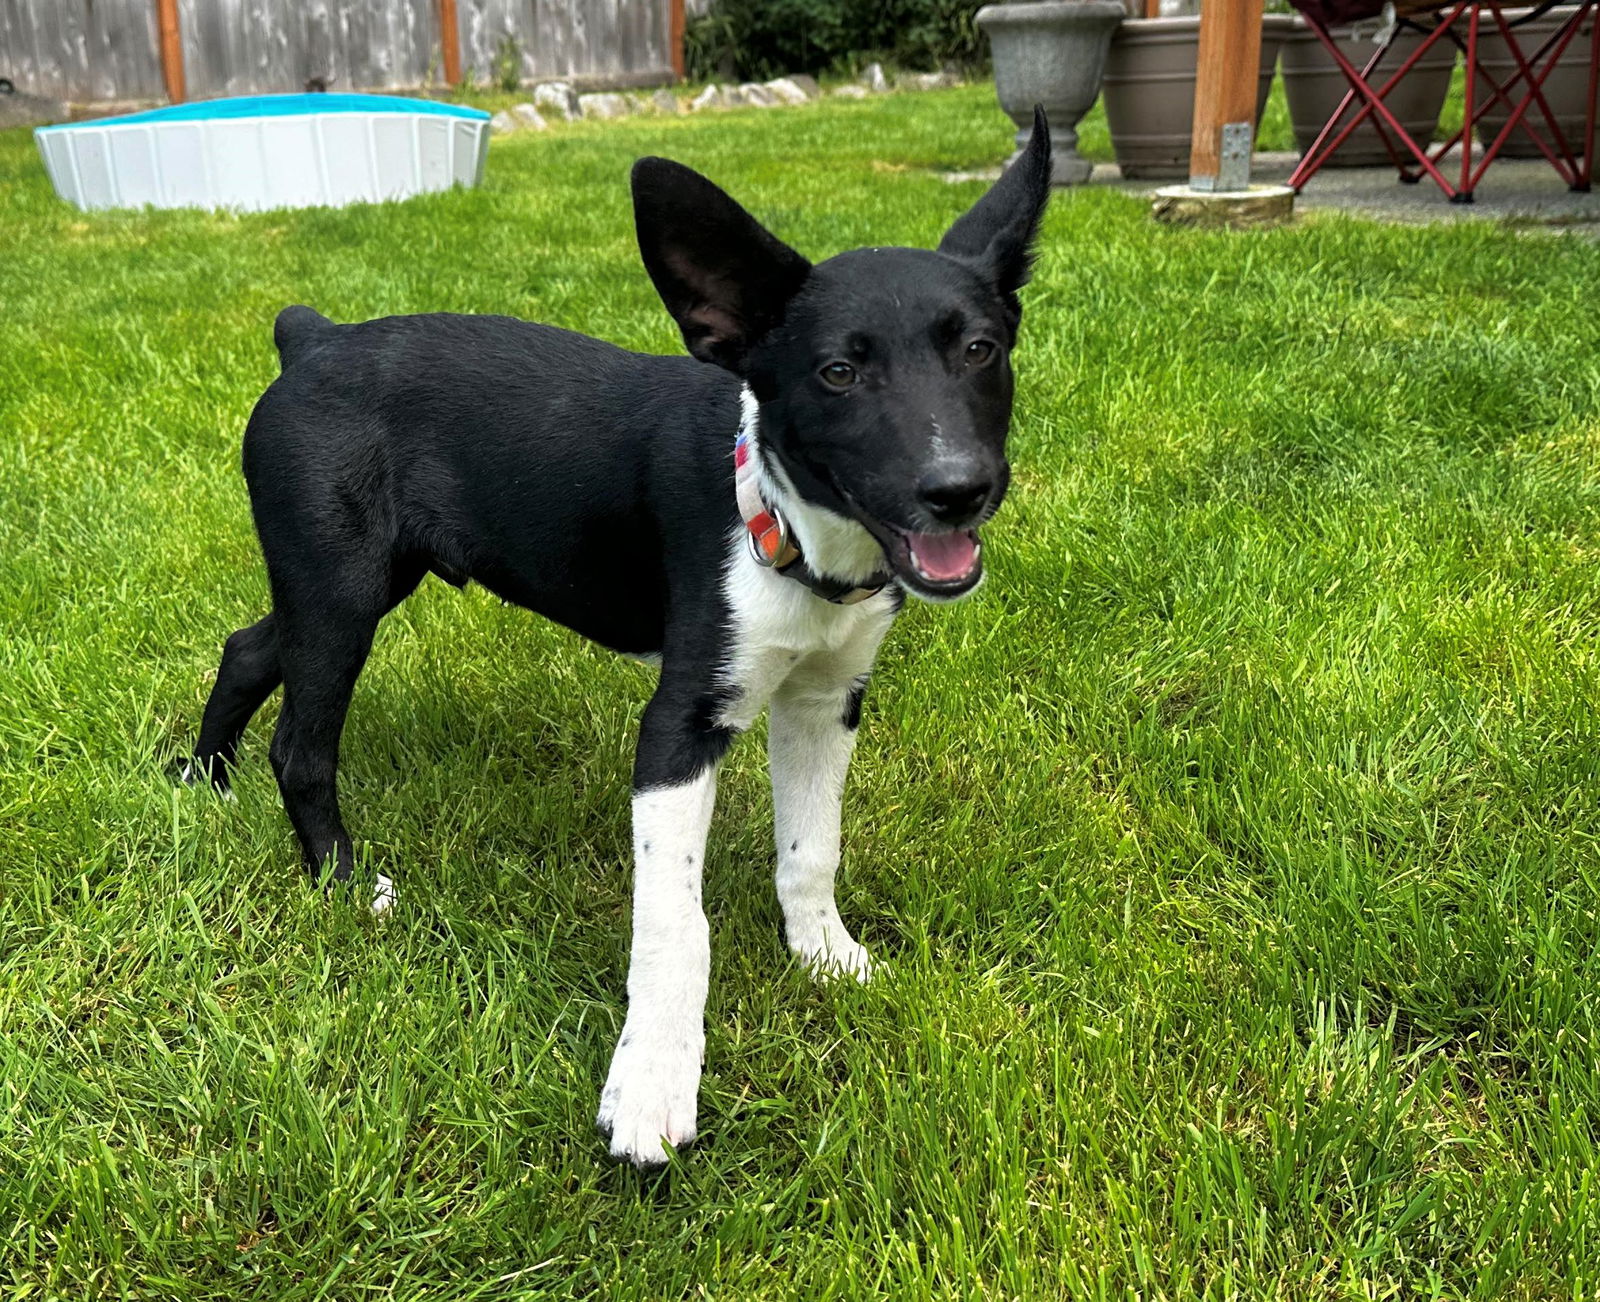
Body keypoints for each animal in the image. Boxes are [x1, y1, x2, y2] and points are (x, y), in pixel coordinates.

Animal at [187, 111, 1049, 1164]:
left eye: (981, 350)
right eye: (839, 373)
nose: (958, 489)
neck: (791, 532)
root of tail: (311, 340)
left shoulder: (824, 701)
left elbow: (812, 847)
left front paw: (826, 957)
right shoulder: (679, 728)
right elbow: (677, 926)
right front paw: (652, 1086)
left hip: (353, 579)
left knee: (247, 646)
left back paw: (202, 780)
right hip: (340, 589)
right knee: (302, 746)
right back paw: (345, 887)